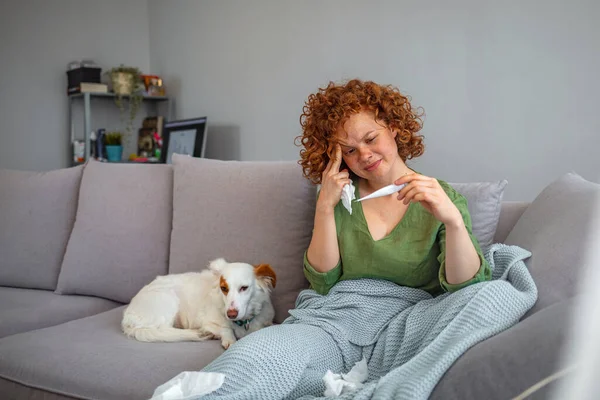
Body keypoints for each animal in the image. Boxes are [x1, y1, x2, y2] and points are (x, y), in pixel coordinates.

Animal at [122, 258, 276, 348]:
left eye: (244, 288)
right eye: (224, 288)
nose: (231, 314)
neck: (243, 322)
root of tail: (126, 319)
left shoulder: (266, 320)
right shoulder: (207, 321)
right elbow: (225, 329)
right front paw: (228, 339)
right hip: (168, 300)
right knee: (163, 330)